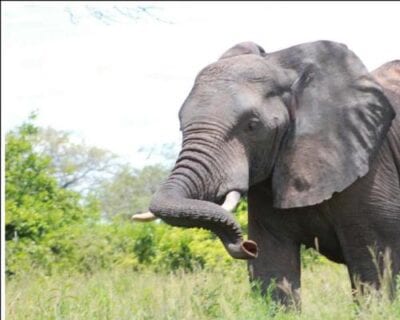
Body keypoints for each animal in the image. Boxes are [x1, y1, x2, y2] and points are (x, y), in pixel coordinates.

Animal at [133, 40, 398, 304]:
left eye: (252, 125)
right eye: (180, 125)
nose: (248, 246)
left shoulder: (370, 165)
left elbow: (374, 268)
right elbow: (272, 269)